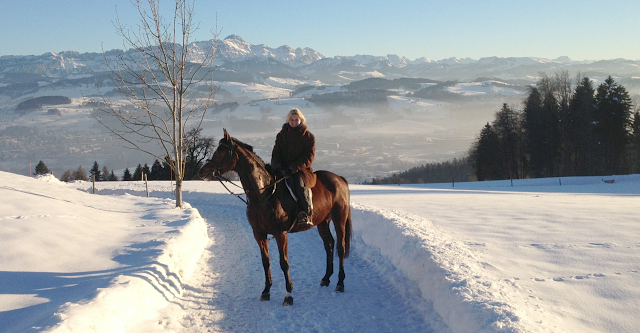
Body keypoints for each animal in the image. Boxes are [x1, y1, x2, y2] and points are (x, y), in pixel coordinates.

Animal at [198, 128, 352, 304]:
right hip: (322, 222)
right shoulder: (259, 234)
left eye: (221, 151)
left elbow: (284, 263)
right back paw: (326, 278)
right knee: (329, 244)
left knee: (340, 247)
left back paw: (340, 283)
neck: (263, 194)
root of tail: (339, 179)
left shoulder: (280, 233)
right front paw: (266, 291)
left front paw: (288, 294)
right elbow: (266, 262)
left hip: (339, 218)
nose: (202, 172)